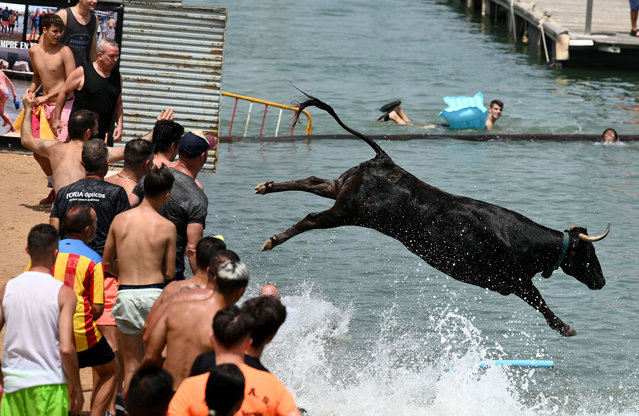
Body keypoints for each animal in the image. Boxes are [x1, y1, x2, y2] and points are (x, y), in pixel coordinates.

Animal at [255, 96, 608, 336]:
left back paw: (266, 186)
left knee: (312, 181)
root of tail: (385, 159)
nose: (602, 282)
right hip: (347, 211)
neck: (522, 239)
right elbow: (540, 301)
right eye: (589, 254)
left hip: (341, 189)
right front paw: (565, 327)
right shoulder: (513, 280)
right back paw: (271, 239)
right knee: (311, 217)